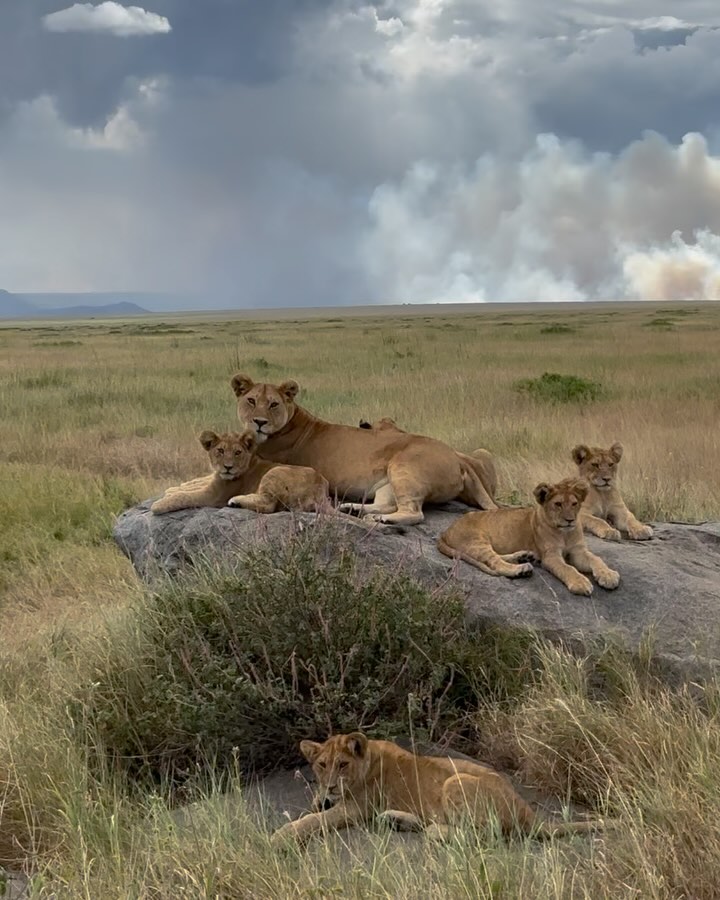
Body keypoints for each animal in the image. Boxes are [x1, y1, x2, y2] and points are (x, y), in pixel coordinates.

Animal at [233, 374, 498, 528]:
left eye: (273, 404)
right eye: (251, 401)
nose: (259, 422)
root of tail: (457, 457)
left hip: (405, 467)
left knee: (413, 512)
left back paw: (383, 519)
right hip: (388, 484)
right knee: (387, 504)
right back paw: (353, 508)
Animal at [270, 732, 600, 844]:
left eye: (342, 764)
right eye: (322, 764)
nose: (330, 787)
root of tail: (527, 811)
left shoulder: (356, 808)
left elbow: (315, 820)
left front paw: (279, 837)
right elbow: (317, 808)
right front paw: (319, 799)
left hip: (456, 781)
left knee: (487, 835)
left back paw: (431, 831)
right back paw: (396, 821)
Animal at [438, 474, 620, 596]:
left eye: (575, 504)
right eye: (558, 504)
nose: (570, 520)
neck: (565, 533)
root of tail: (446, 531)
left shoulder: (578, 551)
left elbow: (596, 559)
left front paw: (608, 575)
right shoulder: (550, 556)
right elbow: (568, 568)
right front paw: (580, 582)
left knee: (496, 557)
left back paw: (523, 556)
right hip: (477, 541)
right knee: (495, 563)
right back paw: (522, 569)